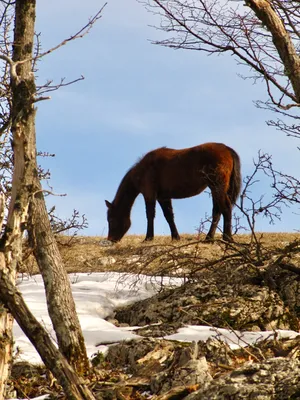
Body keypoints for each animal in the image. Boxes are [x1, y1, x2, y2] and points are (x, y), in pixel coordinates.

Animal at [105, 144, 241, 244]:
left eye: (110, 220)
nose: (111, 240)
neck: (142, 170)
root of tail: (227, 149)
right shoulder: (163, 197)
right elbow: (169, 216)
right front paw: (175, 237)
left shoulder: (149, 194)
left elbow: (150, 215)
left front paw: (148, 238)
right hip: (214, 189)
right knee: (217, 212)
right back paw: (209, 238)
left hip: (217, 187)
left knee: (225, 208)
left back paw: (227, 238)